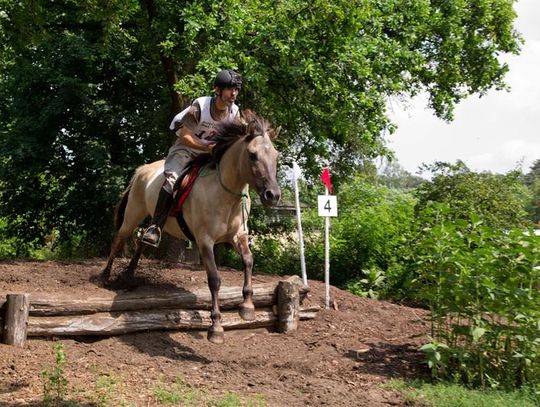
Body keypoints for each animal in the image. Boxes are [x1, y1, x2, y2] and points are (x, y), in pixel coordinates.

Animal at [101, 111, 280, 344]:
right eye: (252, 155)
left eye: (276, 156)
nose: (273, 195)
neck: (226, 192)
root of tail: (143, 169)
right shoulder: (205, 241)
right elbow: (214, 279)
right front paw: (216, 327)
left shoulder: (238, 236)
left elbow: (248, 260)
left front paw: (247, 307)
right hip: (133, 213)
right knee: (118, 240)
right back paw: (105, 276)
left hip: (151, 217)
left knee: (143, 240)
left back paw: (130, 274)